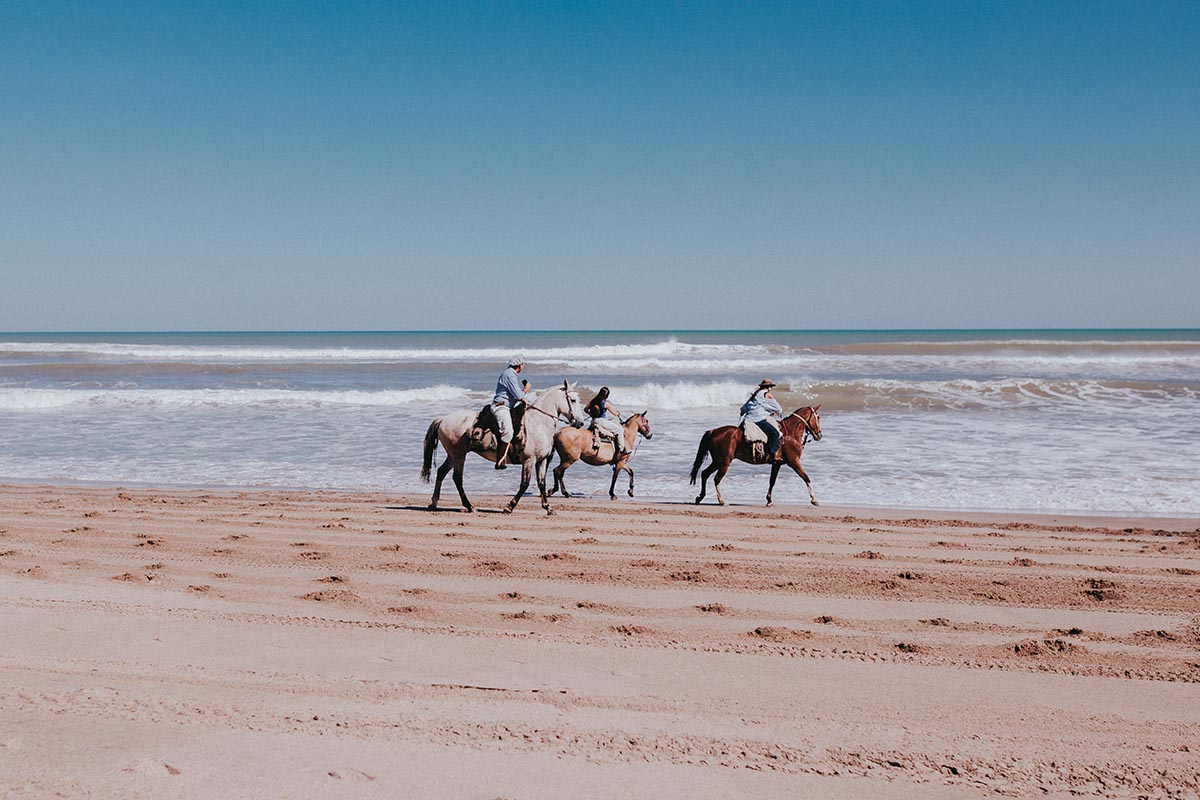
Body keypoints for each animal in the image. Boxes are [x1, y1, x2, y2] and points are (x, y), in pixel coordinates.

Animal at [422, 383, 585, 515]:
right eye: (573, 400)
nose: (580, 423)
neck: (539, 423)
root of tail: (443, 419)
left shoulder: (541, 460)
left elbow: (541, 483)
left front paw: (548, 508)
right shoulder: (529, 460)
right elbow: (524, 484)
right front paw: (509, 507)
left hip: (453, 455)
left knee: (441, 472)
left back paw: (434, 503)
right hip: (459, 455)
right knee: (457, 478)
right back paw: (470, 506)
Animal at [691, 407, 820, 506]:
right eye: (818, 417)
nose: (819, 435)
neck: (790, 433)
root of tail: (713, 431)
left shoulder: (777, 464)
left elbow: (772, 481)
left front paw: (769, 500)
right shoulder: (794, 461)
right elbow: (806, 477)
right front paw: (814, 499)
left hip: (718, 461)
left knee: (705, 473)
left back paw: (700, 497)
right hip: (724, 462)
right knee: (716, 479)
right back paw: (722, 501)